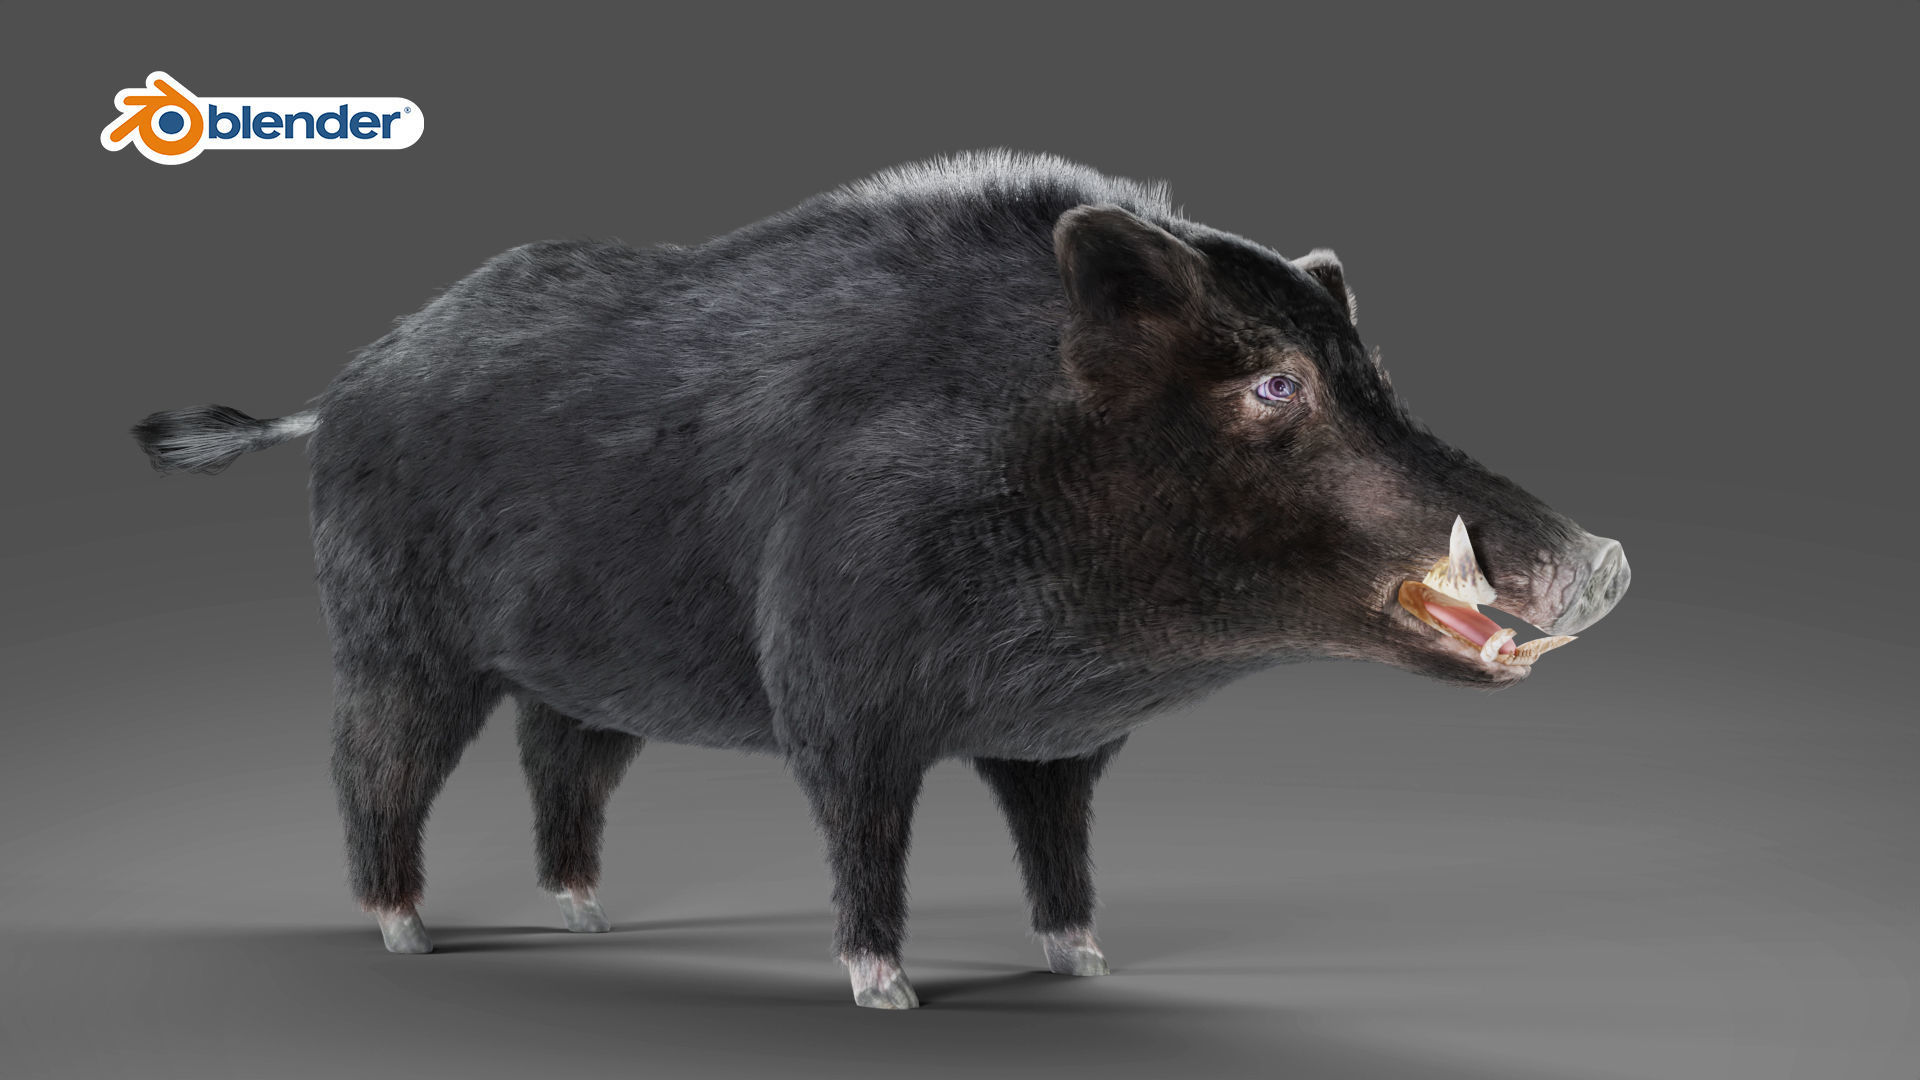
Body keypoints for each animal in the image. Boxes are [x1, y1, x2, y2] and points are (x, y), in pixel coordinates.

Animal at [132, 150, 1628, 1009]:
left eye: (1375, 373)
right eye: (1274, 384)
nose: (1609, 558)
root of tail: (340, 388)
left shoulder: (1055, 745)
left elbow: (1060, 851)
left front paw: (1085, 966)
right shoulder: (838, 692)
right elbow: (865, 833)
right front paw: (886, 995)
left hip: (581, 673)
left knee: (564, 761)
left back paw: (585, 919)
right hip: (394, 635)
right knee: (369, 764)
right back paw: (407, 941)